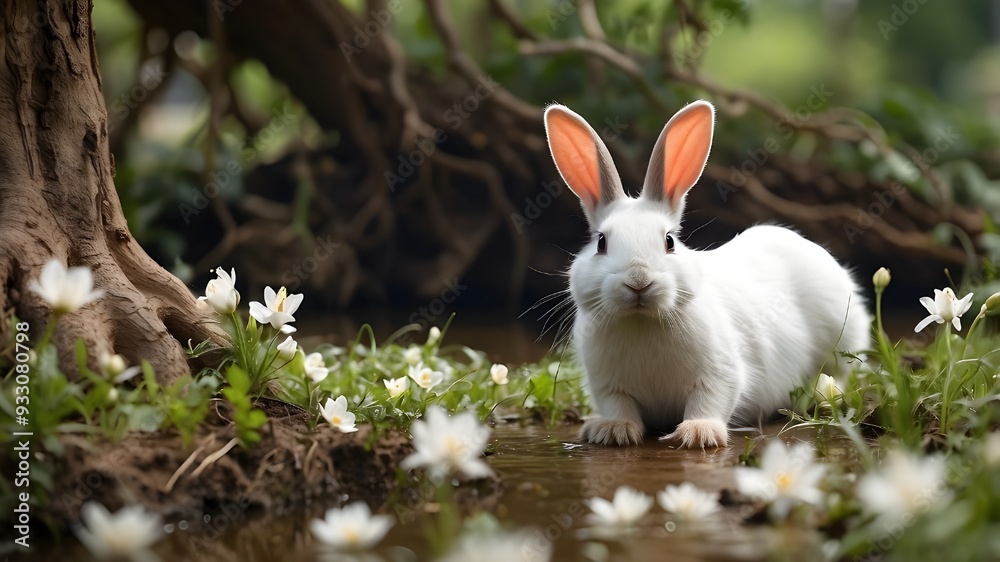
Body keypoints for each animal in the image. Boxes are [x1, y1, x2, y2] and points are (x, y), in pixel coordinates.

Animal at [543, 100, 871, 448]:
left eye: (669, 241)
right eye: (601, 243)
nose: (638, 281)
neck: (642, 321)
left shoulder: (720, 374)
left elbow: (710, 400)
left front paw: (698, 433)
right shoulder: (606, 386)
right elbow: (619, 407)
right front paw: (614, 431)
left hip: (842, 337)